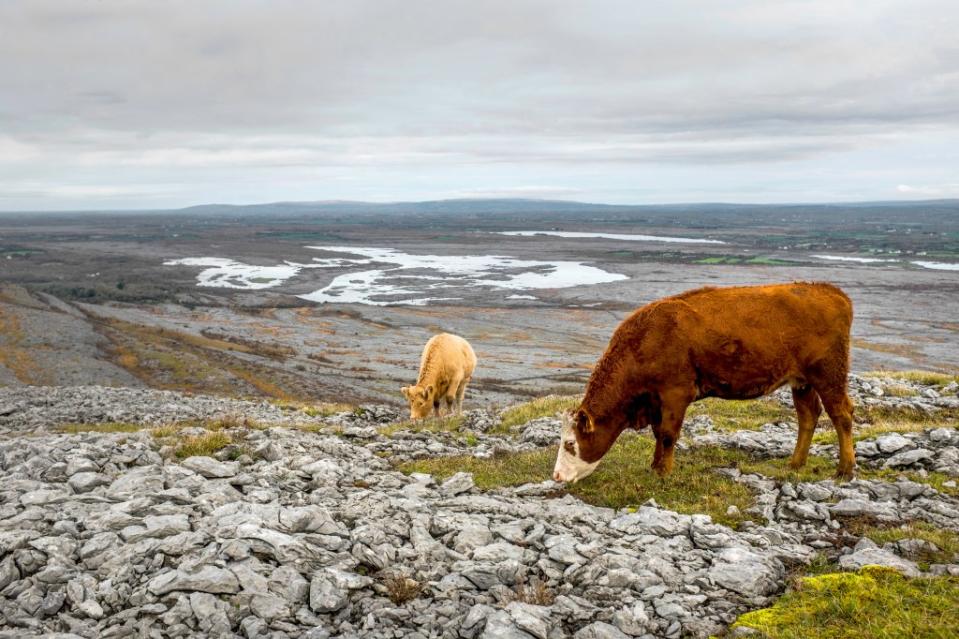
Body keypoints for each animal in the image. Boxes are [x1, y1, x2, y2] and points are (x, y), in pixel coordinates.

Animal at [556, 282, 856, 482]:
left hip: (829, 373)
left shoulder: (676, 392)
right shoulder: (657, 400)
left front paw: (663, 472)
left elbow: (668, 434)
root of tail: (832, 292)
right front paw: (654, 466)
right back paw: (795, 463)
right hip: (801, 381)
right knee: (809, 415)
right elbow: (658, 433)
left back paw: (845, 469)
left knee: (842, 414)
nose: (557, 476)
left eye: (570, 443)